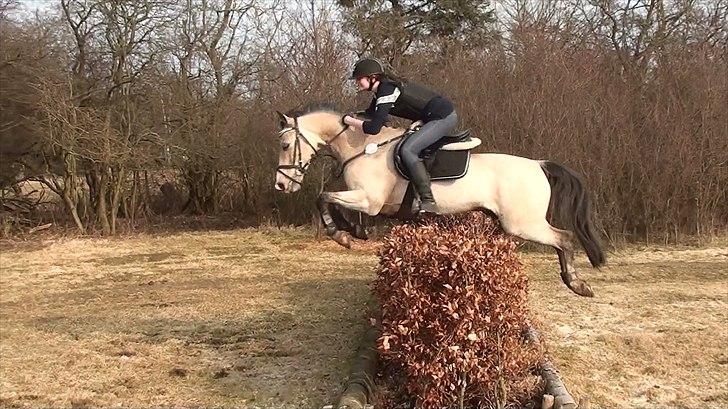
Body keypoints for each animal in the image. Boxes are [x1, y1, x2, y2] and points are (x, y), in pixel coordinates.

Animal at [272, 103, 604, 294]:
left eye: (286, 145)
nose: (281, 185)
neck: (363, 146)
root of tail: (538, 164)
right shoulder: (365, 200)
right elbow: (329, 200)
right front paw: (352, 230)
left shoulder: (369, 201)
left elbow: (324, 197)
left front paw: (340, 234)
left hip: (522, 223)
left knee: (564, 238)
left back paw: (576, 284)